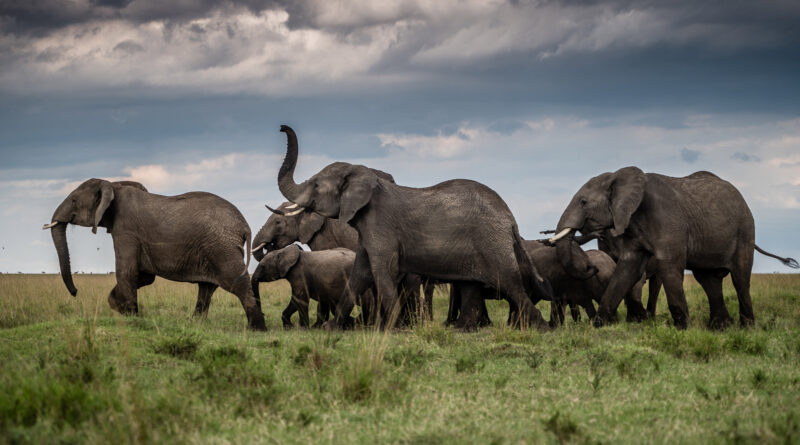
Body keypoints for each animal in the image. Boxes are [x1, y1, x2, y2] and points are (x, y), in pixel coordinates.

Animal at [43, 178, 266, 330]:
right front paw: (117, 305)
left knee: (237, 284)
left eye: (73, 200)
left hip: (222, 248)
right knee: (206, 288)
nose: (75, 292)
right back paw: (194, 324)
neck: (113, 185)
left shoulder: (126, 230)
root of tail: (244, 225)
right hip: (215, 248)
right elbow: (144, 276)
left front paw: (131, 317)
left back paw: (256, 329)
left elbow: (127, 272)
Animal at [272, 125, 552, 330]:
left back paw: (540, 327)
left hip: (491, 241)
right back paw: (461, 329)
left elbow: (381, 270)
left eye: (316, 185)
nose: (282, 127)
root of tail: (509, 217)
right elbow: (359, 274)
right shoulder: (367, 230)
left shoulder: (380, 225)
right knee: (471, 285)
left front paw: (392, 328)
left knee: (510, 283)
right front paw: (330, 328)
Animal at [548, 166, 796, 330]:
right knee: (709, 281)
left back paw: (746, 328)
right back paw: (719, 328)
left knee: (740, 279)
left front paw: (682, 329)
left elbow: (669, 267)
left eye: (583, 202)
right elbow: (627, 268)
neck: (619, 177)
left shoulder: (668, 222)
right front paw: (600, 325)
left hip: (744, 231)